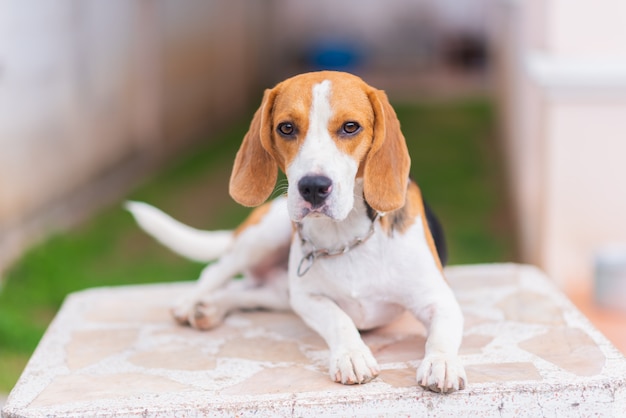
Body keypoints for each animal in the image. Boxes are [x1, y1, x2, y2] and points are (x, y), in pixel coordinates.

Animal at [127, 70, 466, 394]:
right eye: (286, 128)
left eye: (350, 127)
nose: (313, 186)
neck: (346, 236)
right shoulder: (306, 298)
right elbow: (339, 319)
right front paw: (352, 354)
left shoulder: (439, 298)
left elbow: (441, 333)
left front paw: (442, 363)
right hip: (266, 235)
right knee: (216, 270)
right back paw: (192, 302)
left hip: (279, 289)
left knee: (250, 292)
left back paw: (210, 308)